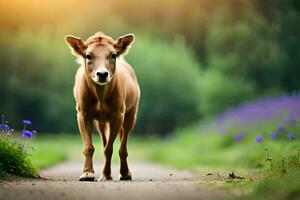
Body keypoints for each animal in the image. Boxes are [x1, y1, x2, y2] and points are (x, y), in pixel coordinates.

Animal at [65, 31, 140, 181]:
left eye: (113, 55)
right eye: (88, 55)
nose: (102, 74)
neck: (100, 95)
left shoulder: (118, 114)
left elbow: (109, 148)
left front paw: (107, 174)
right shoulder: (82, 113)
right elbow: (89, 146)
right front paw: (87, 173)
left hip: (131, 112)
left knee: (123, 143)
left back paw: (124, 173)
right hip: (101, 122)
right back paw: (107, 175)